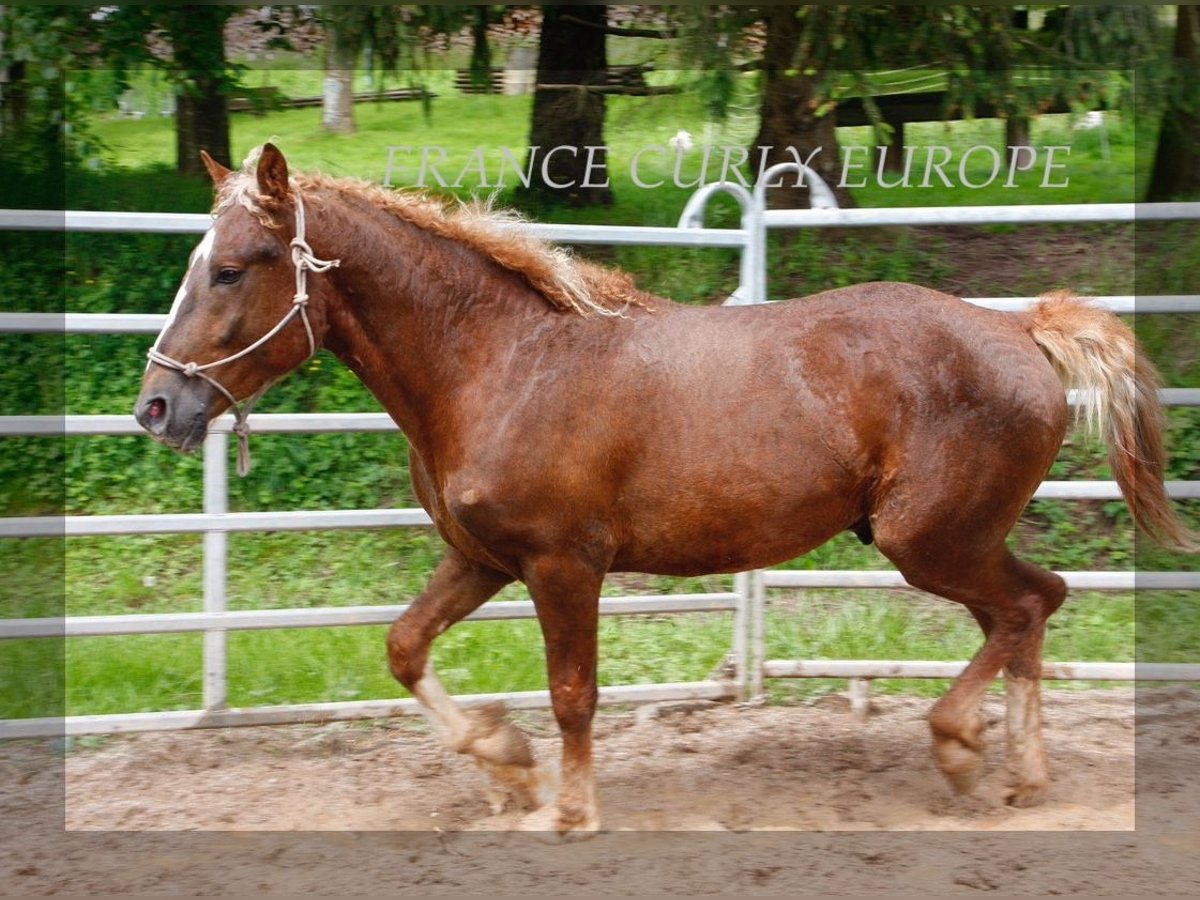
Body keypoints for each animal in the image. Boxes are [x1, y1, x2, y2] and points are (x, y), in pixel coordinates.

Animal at [138, 146, 1190, 840]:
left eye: (229, 268)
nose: (157, 405)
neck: (499, 365)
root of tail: (1023, 331)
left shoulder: (565, 564)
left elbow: (573, 692)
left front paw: (567, 809)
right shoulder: (482, 559)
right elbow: (403, 649)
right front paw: (506, 768)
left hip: (929, 539)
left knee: (1023, 607)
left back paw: (964, 750)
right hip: (952, 541)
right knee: (1033, 606)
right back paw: (1021, 775)